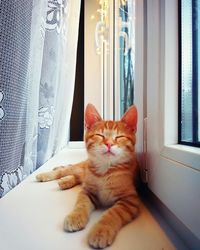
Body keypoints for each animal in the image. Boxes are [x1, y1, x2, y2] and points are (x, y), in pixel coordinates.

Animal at [36, 103, 139, 248]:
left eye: (119, 137)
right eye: (100, 135)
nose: (109, 144)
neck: (105, 171)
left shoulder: (130, 200)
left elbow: (113, 213)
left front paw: (101, 231)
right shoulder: (87, 191)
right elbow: (81, 203)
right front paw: (75, 217)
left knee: (76, 177)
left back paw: (65, 182)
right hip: (80, 168)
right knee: (65, 170)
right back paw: (45, 175)